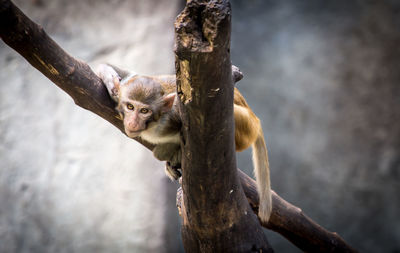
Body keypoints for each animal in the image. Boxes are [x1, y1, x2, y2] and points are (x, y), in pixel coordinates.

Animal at [96, 63, 272, 223]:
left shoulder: (174, 114)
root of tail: (256, 120)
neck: (155, 124)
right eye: (130, 106)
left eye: (144, 111)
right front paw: (109, 76)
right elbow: (128, 74)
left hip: (245, 125)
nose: (132, 122)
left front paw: (168, 151)